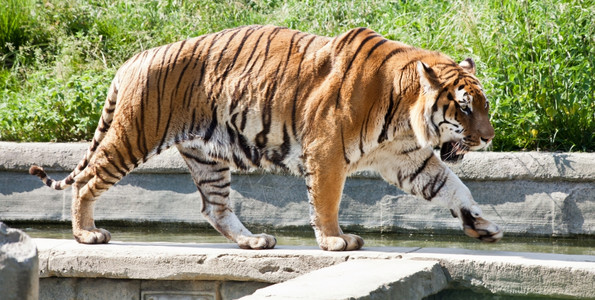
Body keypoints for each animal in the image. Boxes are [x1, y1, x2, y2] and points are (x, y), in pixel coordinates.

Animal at [28, 25, 502, 251]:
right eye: (464, 108)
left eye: (483, 105)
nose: (488, 139)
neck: (405, 113)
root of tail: (133, 59)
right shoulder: (326, 151)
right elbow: (326, 200)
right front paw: (335, 240)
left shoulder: (405, 157)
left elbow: (452, 186)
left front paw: (483, 224)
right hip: (134, 135)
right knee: (88, 180)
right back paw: (87, 235)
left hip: (207, 157)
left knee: (214, 208)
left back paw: (253, 241)